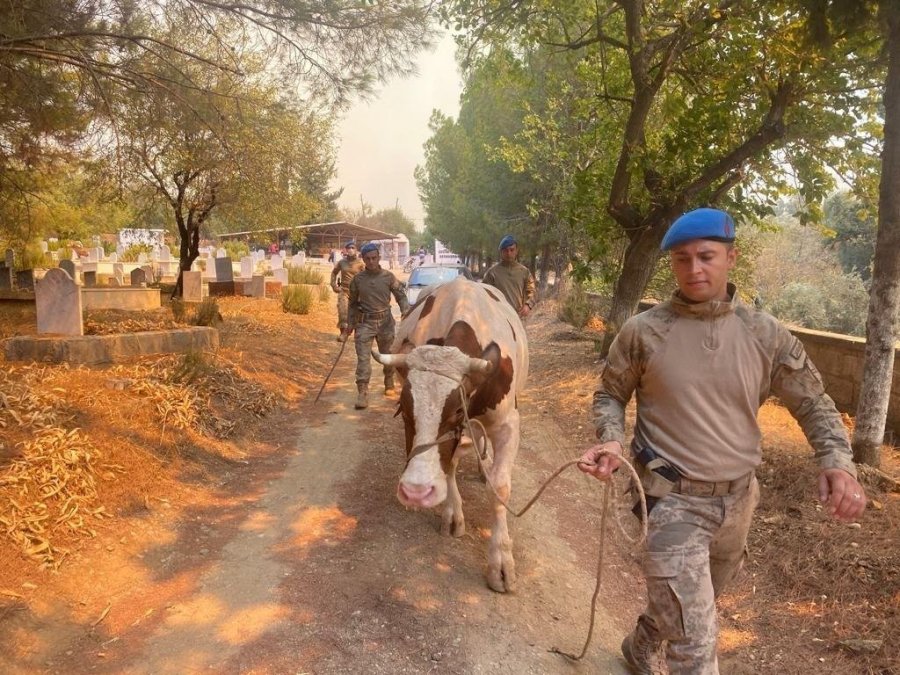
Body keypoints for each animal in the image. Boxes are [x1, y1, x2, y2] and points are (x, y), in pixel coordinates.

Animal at [370, 274, 528, 592]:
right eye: (404, 409)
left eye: (456, 409)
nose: (415, 492)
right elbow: (450, 464)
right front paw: (453, 514)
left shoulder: (507, 424)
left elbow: (500, 488)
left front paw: (501, 561)